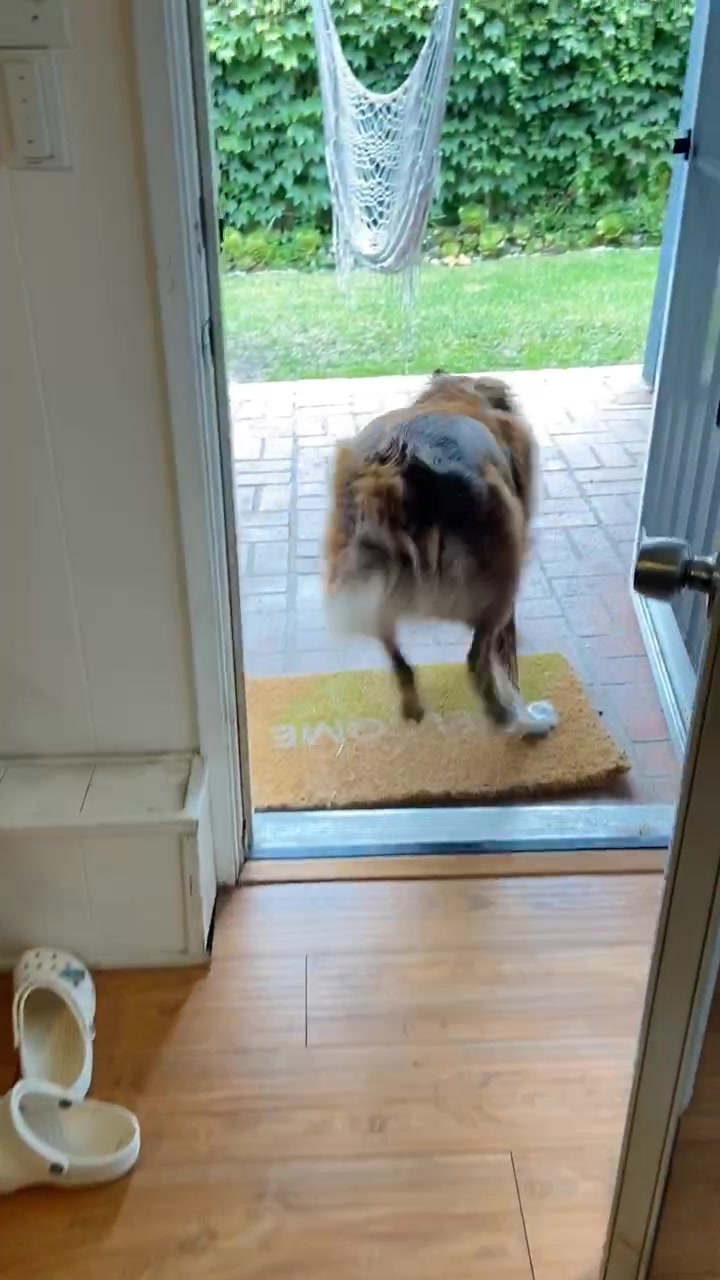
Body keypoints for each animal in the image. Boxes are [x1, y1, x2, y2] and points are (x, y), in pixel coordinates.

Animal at [324, 370, 558, 738]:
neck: (453, 396)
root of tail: (397, 467)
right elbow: (508, 657)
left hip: (371, 594)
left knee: (399, 661)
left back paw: (413, 709)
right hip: (504, 572)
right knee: (478, 664)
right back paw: (517, 721)